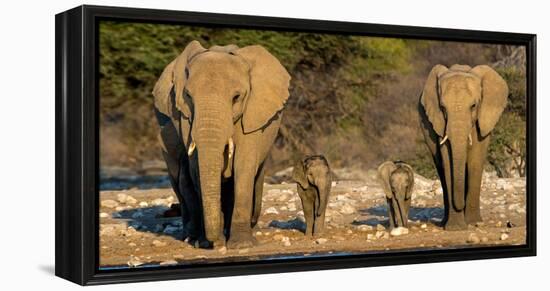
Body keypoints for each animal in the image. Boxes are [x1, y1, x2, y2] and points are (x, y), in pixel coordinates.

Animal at [154, 41, 294, 250]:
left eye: (236, 97)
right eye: (188, 96)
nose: (214, 240)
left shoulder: (252, 115)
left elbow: (244, 167)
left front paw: (242, 245)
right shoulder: (185, 118)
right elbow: (196, 169)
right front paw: (207, 242)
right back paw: (190, 236)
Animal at [420, 64, 512, 230]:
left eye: (473, 106)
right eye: (443, 108)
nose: (460, 206)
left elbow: (475, 161)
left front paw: (474, 223)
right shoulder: (440, 123)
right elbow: (448, 160)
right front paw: (455, 228)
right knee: (441, 170)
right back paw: (444, 223)